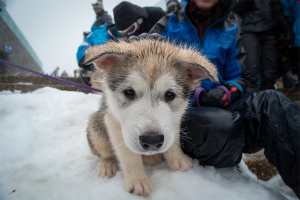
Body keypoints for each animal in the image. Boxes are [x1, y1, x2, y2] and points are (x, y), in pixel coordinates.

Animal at [85, 38, 217, 196]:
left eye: (170, 95)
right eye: (129, 92)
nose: (152, 140)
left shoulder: (175, 117)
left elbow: (173, 141)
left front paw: (177, 159)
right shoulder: (113, 121)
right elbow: (128, 154)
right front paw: (137, 180)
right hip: (96, 127)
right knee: (105, 152)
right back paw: (108, 164)